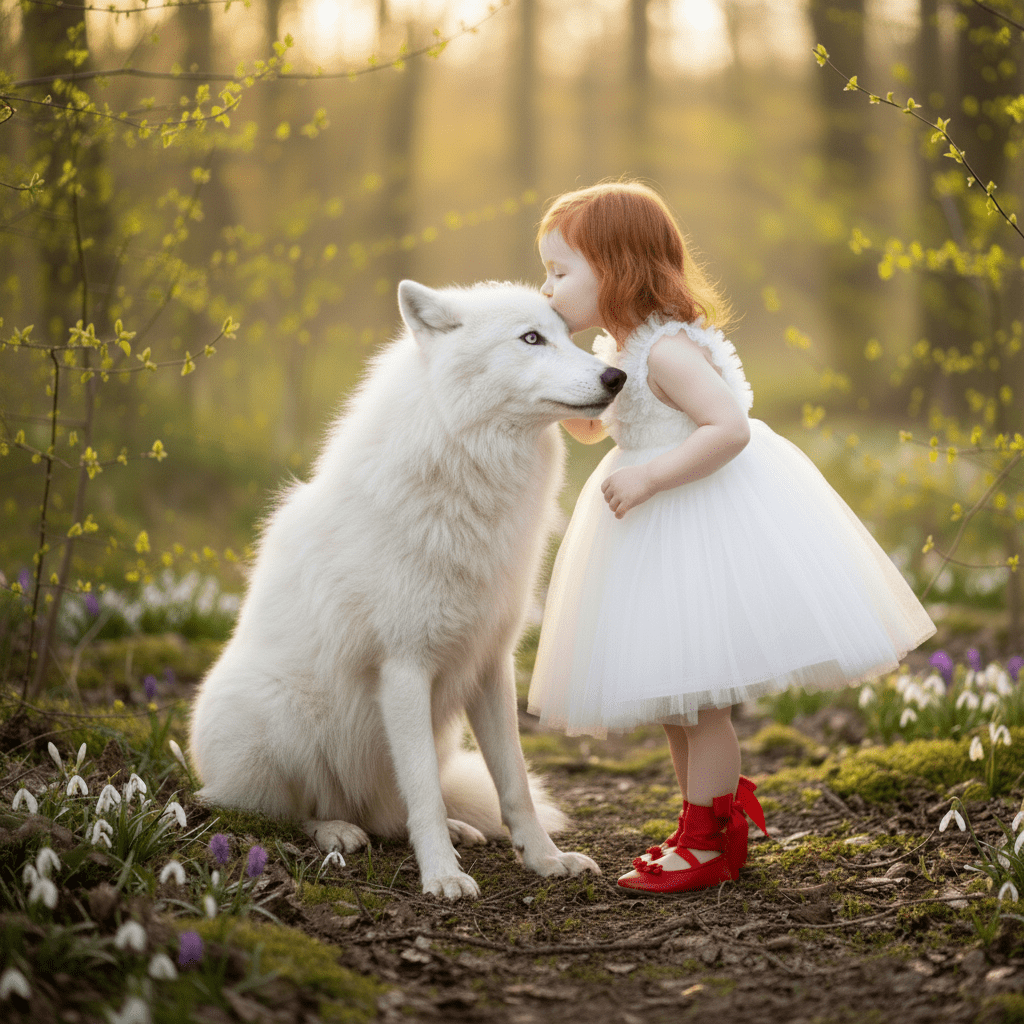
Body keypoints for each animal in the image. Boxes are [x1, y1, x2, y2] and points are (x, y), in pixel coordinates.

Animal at [188, 280, 626, 899]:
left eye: (569, 336)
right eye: (531, 339)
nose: (618, 377)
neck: (469, 475)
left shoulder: (490, 665)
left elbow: (513, 784)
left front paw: (545, 860)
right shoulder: (403, 669)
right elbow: (422, 791)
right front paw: (442, 875)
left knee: (395, 812)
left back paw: (451, 827)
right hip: (279, 720)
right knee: (286, 811)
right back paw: (338, 830)